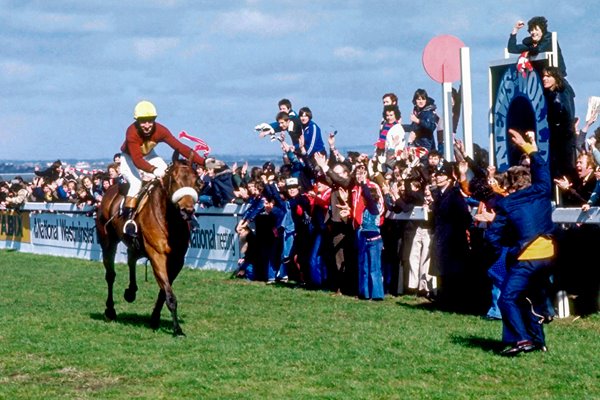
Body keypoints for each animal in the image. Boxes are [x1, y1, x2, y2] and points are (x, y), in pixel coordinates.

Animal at [96, 152, 199, 336]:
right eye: (174, 179)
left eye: (196, 180)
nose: (187, 210)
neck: (170, 221)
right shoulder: (157, 255)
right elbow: (169, 294)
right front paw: (177, 329)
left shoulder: (177, 259)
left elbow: (164, 291)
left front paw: (155, 318)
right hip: (108, 242)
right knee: (110, 275)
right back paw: (110, 310)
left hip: (134, 245)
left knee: (131, 259)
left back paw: (131, 291)